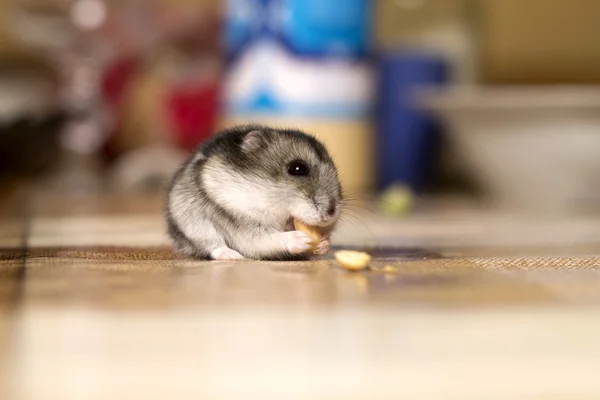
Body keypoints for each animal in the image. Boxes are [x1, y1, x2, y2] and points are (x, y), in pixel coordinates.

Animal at [165, 126, 342, 262]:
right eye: (298, 168)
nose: (330, 215)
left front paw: (324, 244)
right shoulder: (244, 226)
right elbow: (266, 239)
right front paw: (302, 239)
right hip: (193, 226)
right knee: (213, 245)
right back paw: (232, 256)